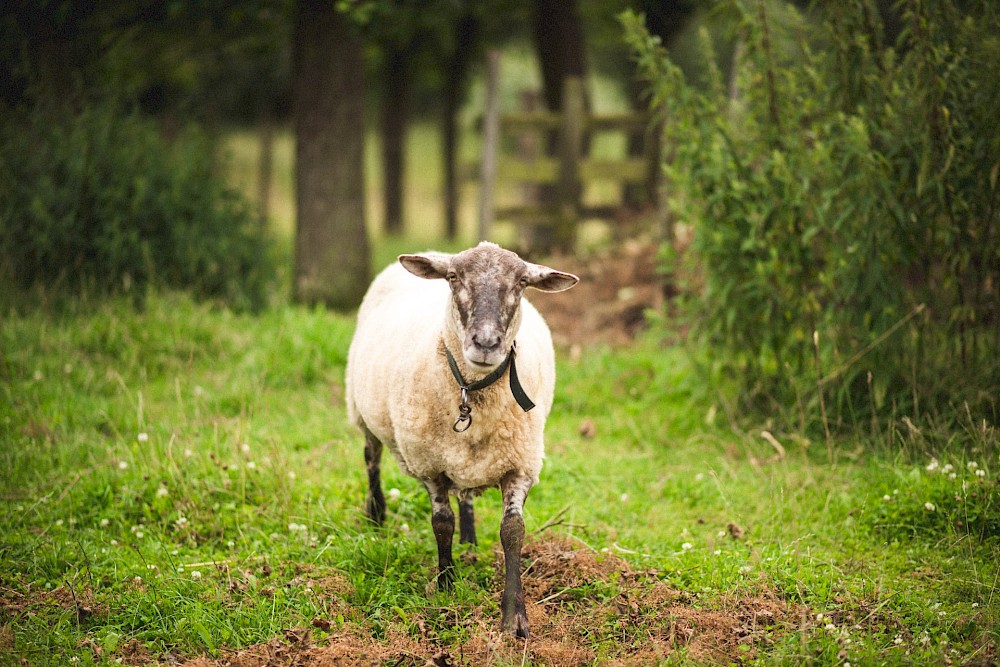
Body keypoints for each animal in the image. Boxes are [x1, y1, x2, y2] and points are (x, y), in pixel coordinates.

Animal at [344, 240, 580, 636]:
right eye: (454, 277)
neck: (474, 393)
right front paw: (446, 584)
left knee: (465, 493)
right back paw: (376, 514)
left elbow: (512, 531)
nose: (485, 343)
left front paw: (515, 617)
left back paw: (469, 540)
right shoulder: (429, 465)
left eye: (521, 282)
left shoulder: (520, 464)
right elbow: (442, 524)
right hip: (363, 410)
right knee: (370, 459)